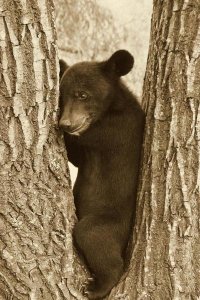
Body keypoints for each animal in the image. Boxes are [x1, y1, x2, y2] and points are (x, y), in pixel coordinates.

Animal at [58, 50, 145, 298]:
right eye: (62, 97)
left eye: (82, 95)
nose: (66, 124)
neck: (111, 109)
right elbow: (76, 157)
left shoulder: (113, 131)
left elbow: (85, 139)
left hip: (108, 224)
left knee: (93, 237)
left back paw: (95, 289)